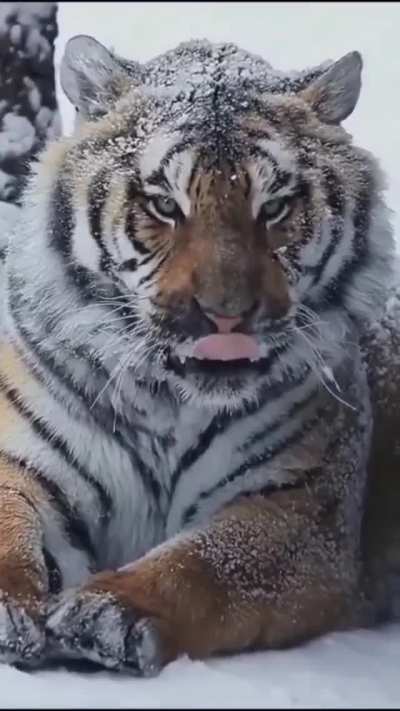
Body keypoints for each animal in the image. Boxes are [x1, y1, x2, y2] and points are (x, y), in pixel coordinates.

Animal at [0, 34, 398, 676]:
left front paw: (106, 614)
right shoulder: (23, 463)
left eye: (275, 207)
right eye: (165, 205)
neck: (166, 401)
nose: (226, 315)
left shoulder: (304, 508)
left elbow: (204, 565)